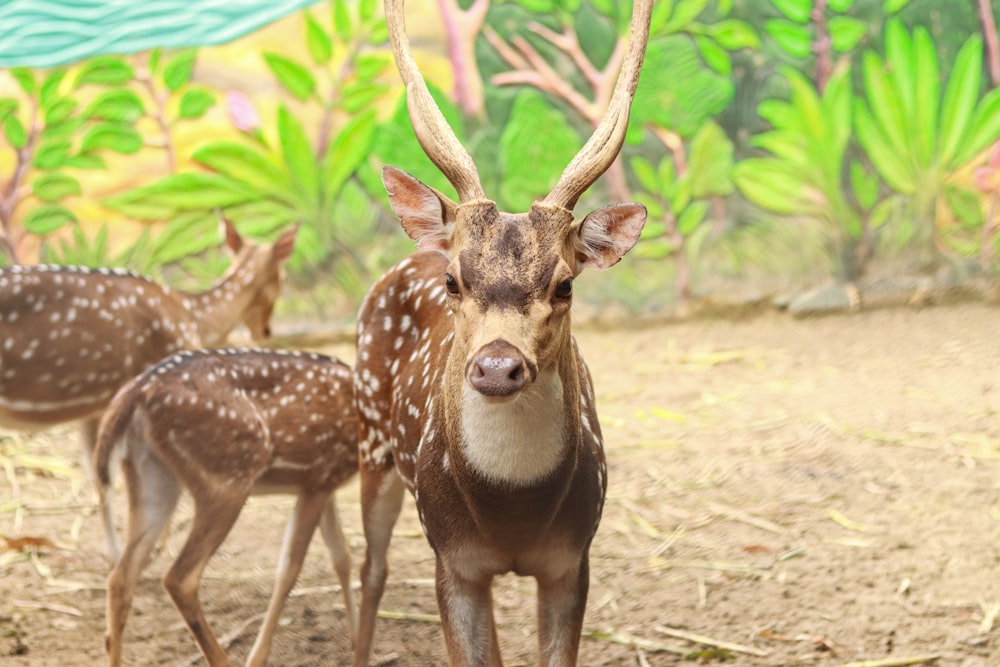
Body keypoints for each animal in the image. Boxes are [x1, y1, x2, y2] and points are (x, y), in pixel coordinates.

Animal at [0, 219, 296, 560]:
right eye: (282, 276)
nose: (266, 331)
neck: (193, 318)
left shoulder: (96, 406)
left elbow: (99, 477)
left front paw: (118, 550)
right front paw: (146, 547)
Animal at [94, 348, 360, 667]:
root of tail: (135, 393)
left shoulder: (324, 483)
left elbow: (342, 557)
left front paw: (359, 647)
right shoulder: (318, 479)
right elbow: (290, 568)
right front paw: (257, 658)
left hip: (152, 478)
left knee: (120, 576)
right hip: (228, 479)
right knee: (179, 577)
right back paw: (224, 659)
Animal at [354, 0, 656, 664]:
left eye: (565, 284)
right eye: (453, 281)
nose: (497, 365)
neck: (511, 513)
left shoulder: (572, 558)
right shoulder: (453, 559)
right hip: (371, 442)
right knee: (371, 569)